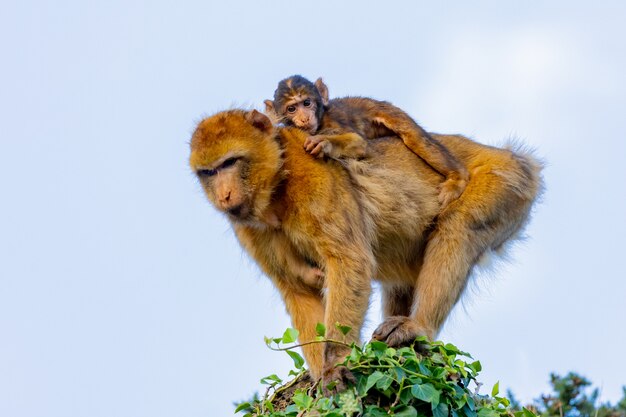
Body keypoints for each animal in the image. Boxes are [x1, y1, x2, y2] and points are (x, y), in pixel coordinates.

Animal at [189, 109, 540, 388]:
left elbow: (350, 262)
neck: (278, 182)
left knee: (458, 229)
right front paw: (318, 378)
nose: (224, 196)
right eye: (208, 172)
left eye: (230, 162)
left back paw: (418, 328)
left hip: (504, 180)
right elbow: (297, 289)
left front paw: (335, 364)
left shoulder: (314, 175)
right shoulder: (249, 228)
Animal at [264, 75, 468, 208]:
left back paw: (458, 177)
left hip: (390, 112)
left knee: (415, 138)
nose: (304, 118)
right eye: (292, 109)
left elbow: (359, 142)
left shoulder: (332, 123)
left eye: (307, 103)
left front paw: (324, 143)